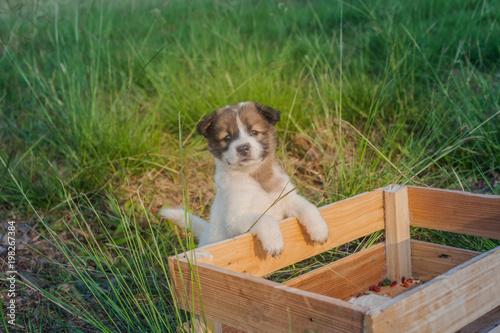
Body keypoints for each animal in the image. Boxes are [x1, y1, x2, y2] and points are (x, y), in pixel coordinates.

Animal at [161, 101, 328, 256]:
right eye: (227, 137)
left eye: (254, 132)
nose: (242, 148)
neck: (255, 177)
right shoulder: (236, 219)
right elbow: (266, 218)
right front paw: (274, 243)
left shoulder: (287, 197)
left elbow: (308, 207)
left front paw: (320, 230)